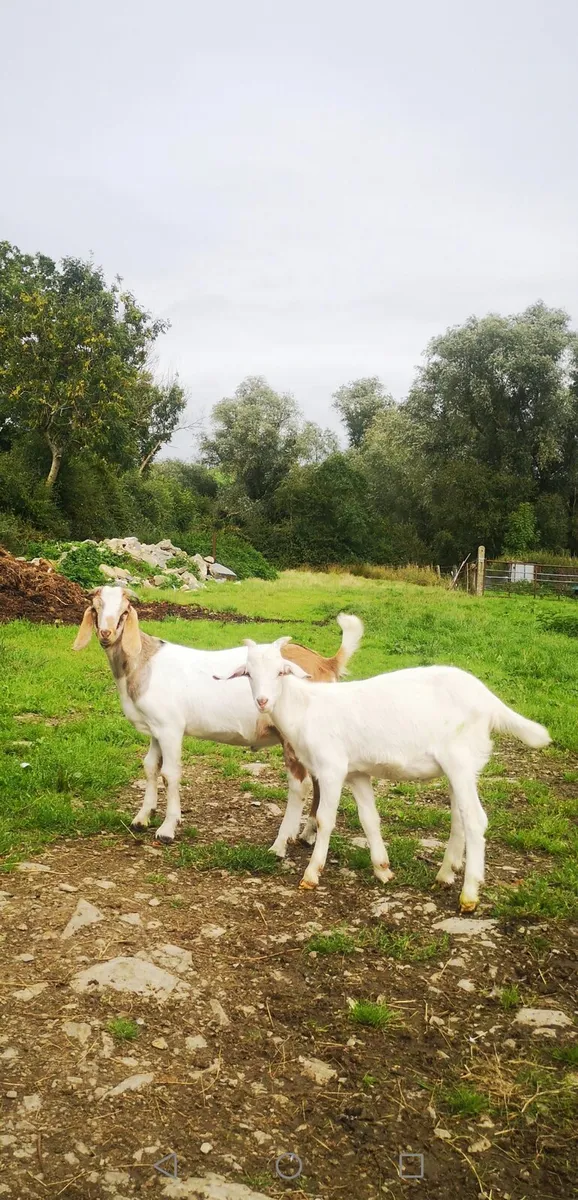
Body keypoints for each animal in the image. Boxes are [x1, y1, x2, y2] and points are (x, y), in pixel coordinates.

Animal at [72, 586, 363, 848]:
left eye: (124, 612)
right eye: (96, 608)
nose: (106, 633)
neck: (143, 663)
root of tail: (326, 663)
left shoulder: (170, 727)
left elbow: (170, 773)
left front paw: (167, 828)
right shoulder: (156, 727)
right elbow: (150, 766)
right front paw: (142, 818)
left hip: (293, 736)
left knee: (299, 785)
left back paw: (282, 842)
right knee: (317, 782)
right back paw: (307, 834)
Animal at [224, 638, 551, 911]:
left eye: (281, 671)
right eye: (248, 674)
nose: (262, 701)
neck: (305, 708)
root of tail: (488, 700)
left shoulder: (332, 767)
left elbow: (325, 820)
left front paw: (311, 874)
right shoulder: (356, 772)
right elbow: (369, 819)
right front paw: (383, 869)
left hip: (460, 758)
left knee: (475, 819)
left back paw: (468, 895)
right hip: (461, 767)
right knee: (459, 816)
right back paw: (445, 874)